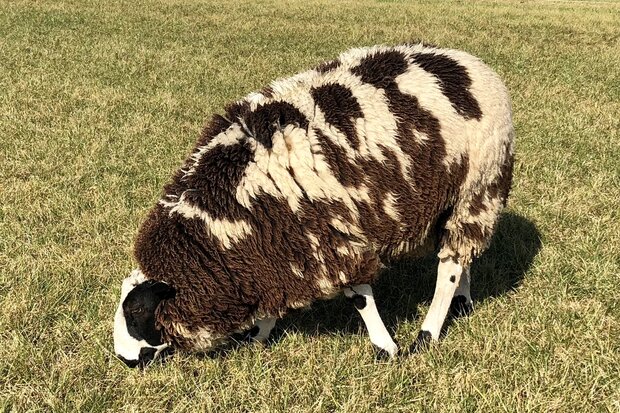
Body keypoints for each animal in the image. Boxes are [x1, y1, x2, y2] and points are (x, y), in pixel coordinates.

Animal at [112, 43, 512, 366]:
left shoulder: (331, 241)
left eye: (136, 310)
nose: (123, 359)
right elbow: (272, 302)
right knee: (461, 255)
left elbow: (359, 298)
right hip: (452, 202)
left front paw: (386, 349)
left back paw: (427, 334)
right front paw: (260, 335)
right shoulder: (277, 253)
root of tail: (471, 63)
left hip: (478, 187)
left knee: (450, 266)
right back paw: (463, 302)